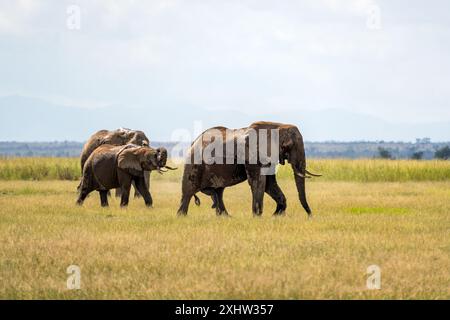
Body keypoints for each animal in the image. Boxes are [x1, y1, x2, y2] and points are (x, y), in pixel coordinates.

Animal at [176, 121, 320, 216]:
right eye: (289, 145)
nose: (310, 216)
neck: (278, 125)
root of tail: (193, 142)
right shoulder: (253, 156)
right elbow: (258, 182)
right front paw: (258, 217)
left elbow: (269, 183)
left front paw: (276, 216)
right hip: (194, 166)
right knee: (188, 192)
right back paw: (182, 217)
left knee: (218, 193)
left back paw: (226, 218)